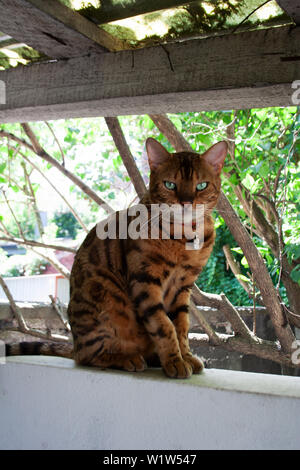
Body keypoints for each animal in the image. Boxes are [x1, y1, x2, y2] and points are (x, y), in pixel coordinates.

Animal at [67, 137, 226, 378]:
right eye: (170, 184)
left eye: (201, 185)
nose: (186, 202)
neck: (184, 239)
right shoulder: (145, 280)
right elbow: (163, 325)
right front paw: (175, 361)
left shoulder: (183, 287)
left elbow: (181, 325)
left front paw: (186, 356)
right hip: (101, 299)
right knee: (86, 355)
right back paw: (126, 358)